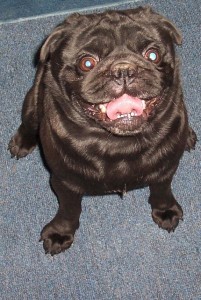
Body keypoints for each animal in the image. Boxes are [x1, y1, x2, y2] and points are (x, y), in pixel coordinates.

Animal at [8, 6, 196, 255]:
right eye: (87, 63)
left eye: (152, 55)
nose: (123, 70)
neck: (118, 144)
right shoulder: (64, 183)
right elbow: (69, 210)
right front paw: (61, 232)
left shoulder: (166, 170)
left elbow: (161, 191)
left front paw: (165, 211)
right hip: (32, 101)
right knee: (29, 123)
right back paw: (22, 142)